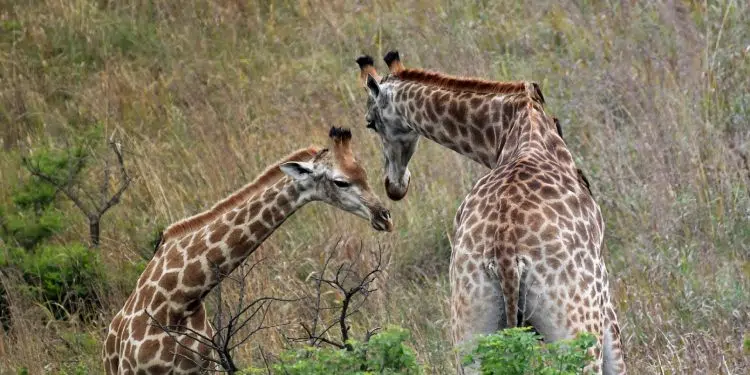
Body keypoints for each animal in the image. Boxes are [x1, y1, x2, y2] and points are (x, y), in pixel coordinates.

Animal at [356, 51, 624, 374]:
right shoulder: (606, 306)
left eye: (370, 123)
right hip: (576, 327)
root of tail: (506, 253)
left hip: (470, 328)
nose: (393, 185)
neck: (508, 127)